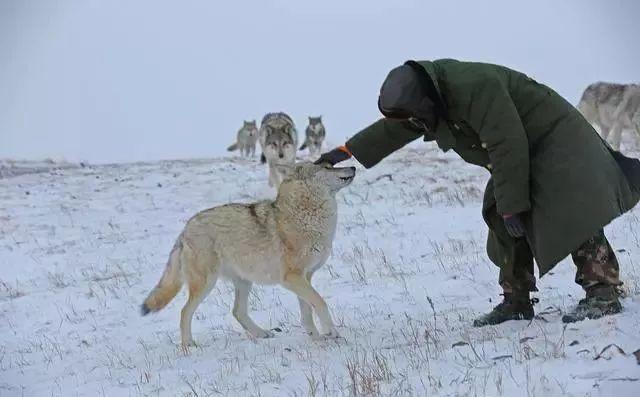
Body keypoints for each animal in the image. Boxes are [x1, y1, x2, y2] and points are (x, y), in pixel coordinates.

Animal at [139, 161, 356, 346]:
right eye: (327, 166)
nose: (353, 166)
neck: (306, 217)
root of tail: (185, 230)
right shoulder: (291, 278)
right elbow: (320, 303)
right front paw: (331, 332)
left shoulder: (305, 277)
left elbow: (308, 311)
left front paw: (316, 338)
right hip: (206, 284)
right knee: (185, 312)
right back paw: (188, 345)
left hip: (244, 282)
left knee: (237, 311)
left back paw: (261, 333)